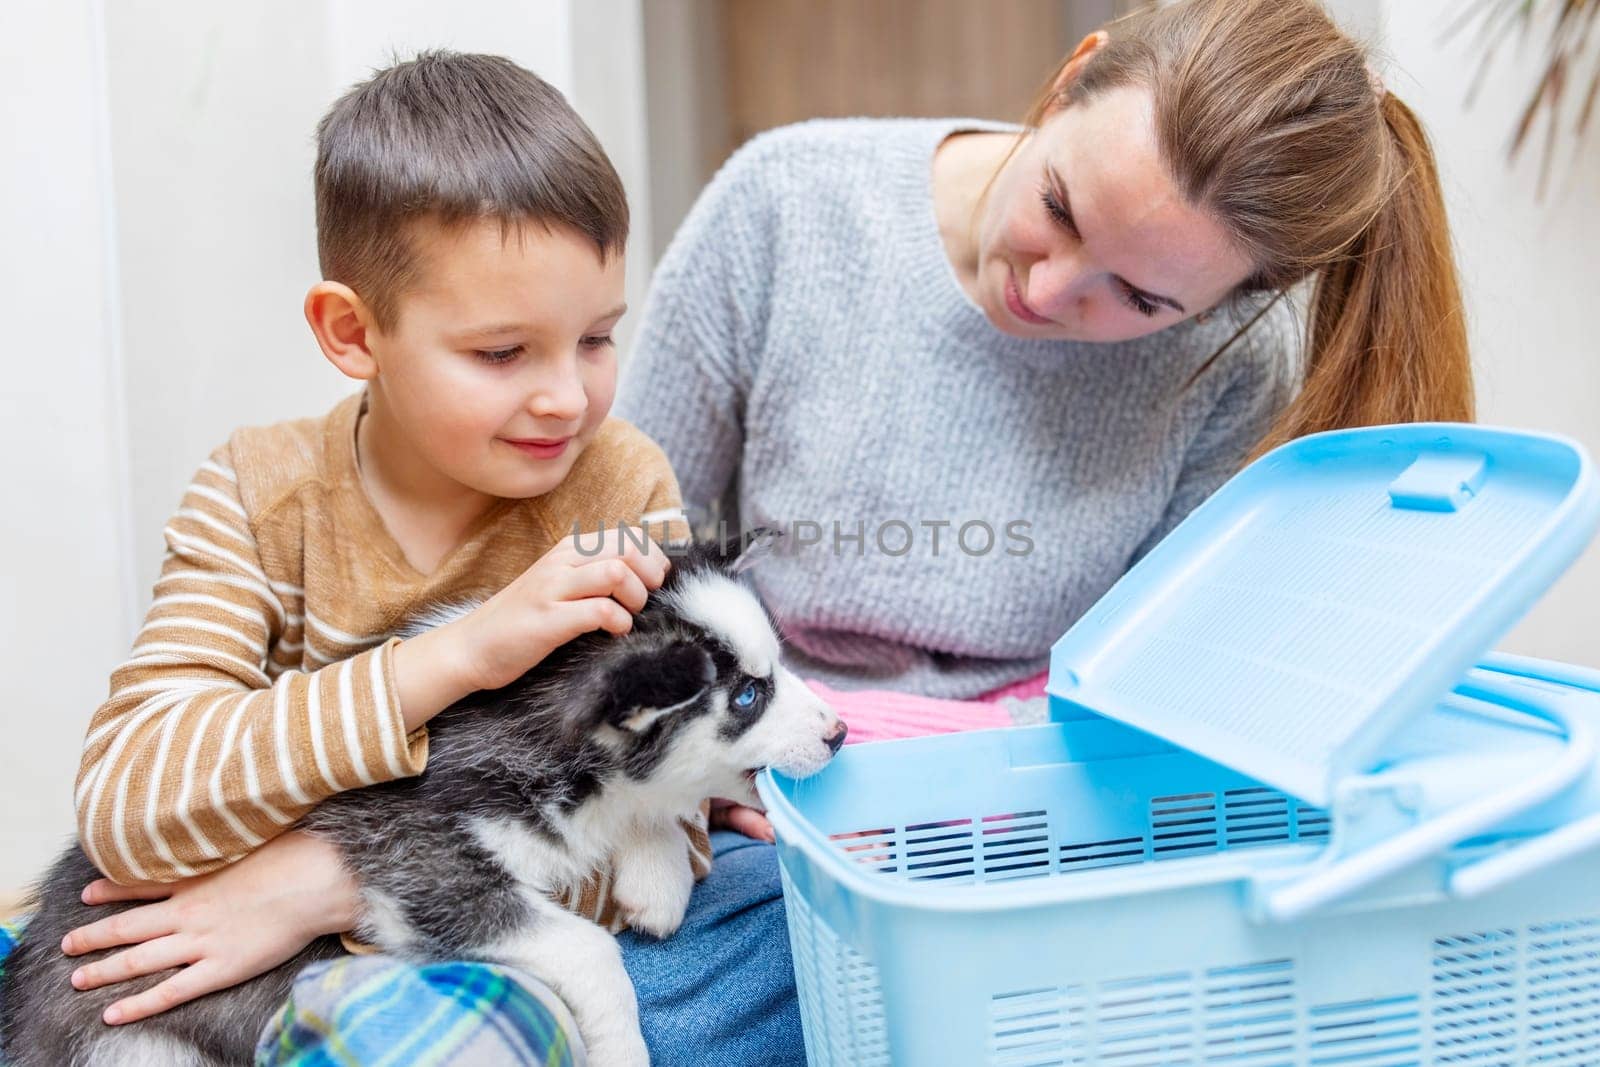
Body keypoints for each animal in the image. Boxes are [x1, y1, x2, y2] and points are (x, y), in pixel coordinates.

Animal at [0, 543, 844, 1067]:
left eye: (776, 669)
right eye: (749, 695)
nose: (839, 730)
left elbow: (653, 812)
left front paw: (656, 873)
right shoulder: (421, 864)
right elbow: (586, 946)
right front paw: (621, 1043)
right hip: (129, 1043)